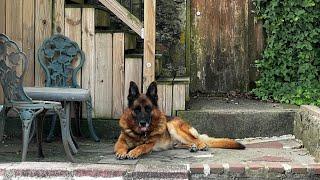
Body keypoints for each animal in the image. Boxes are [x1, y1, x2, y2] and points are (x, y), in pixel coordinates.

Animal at [114, 81, 245, 159]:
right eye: (136, 110)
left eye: (148, 109)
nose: (143, 123)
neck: (139, 134)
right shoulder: (120, 141)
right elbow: (120, 146)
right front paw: (121, 152)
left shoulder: (150, 144)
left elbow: (141, 147)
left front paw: (133, 152)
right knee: (183, 144)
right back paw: (192, 147)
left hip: (173, 126)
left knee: (198, 140)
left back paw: (200, 145)